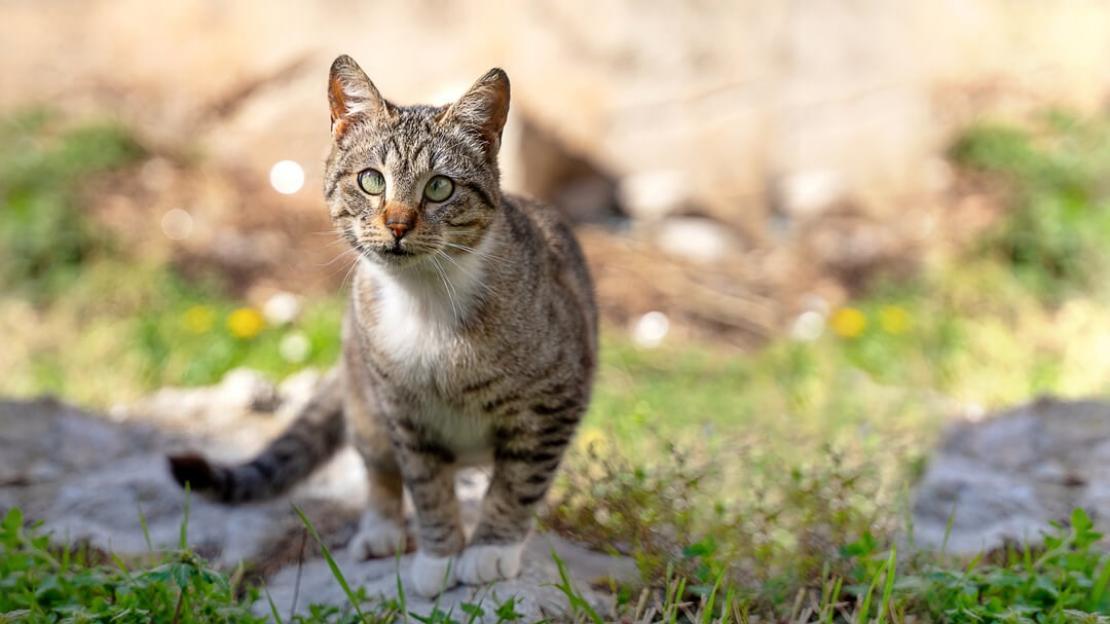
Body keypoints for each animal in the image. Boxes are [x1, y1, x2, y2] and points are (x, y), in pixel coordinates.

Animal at [166, 55, 599, 595]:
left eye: (440, 186)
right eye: (372, 180)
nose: (397, 224)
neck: (426, 303)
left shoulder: (554, 402)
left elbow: (519, 482)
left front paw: (490, 549)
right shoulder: (404, 414)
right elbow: (427, 486)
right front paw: (440, 556)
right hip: (365, 398)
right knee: (378, 467)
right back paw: (381, 530)